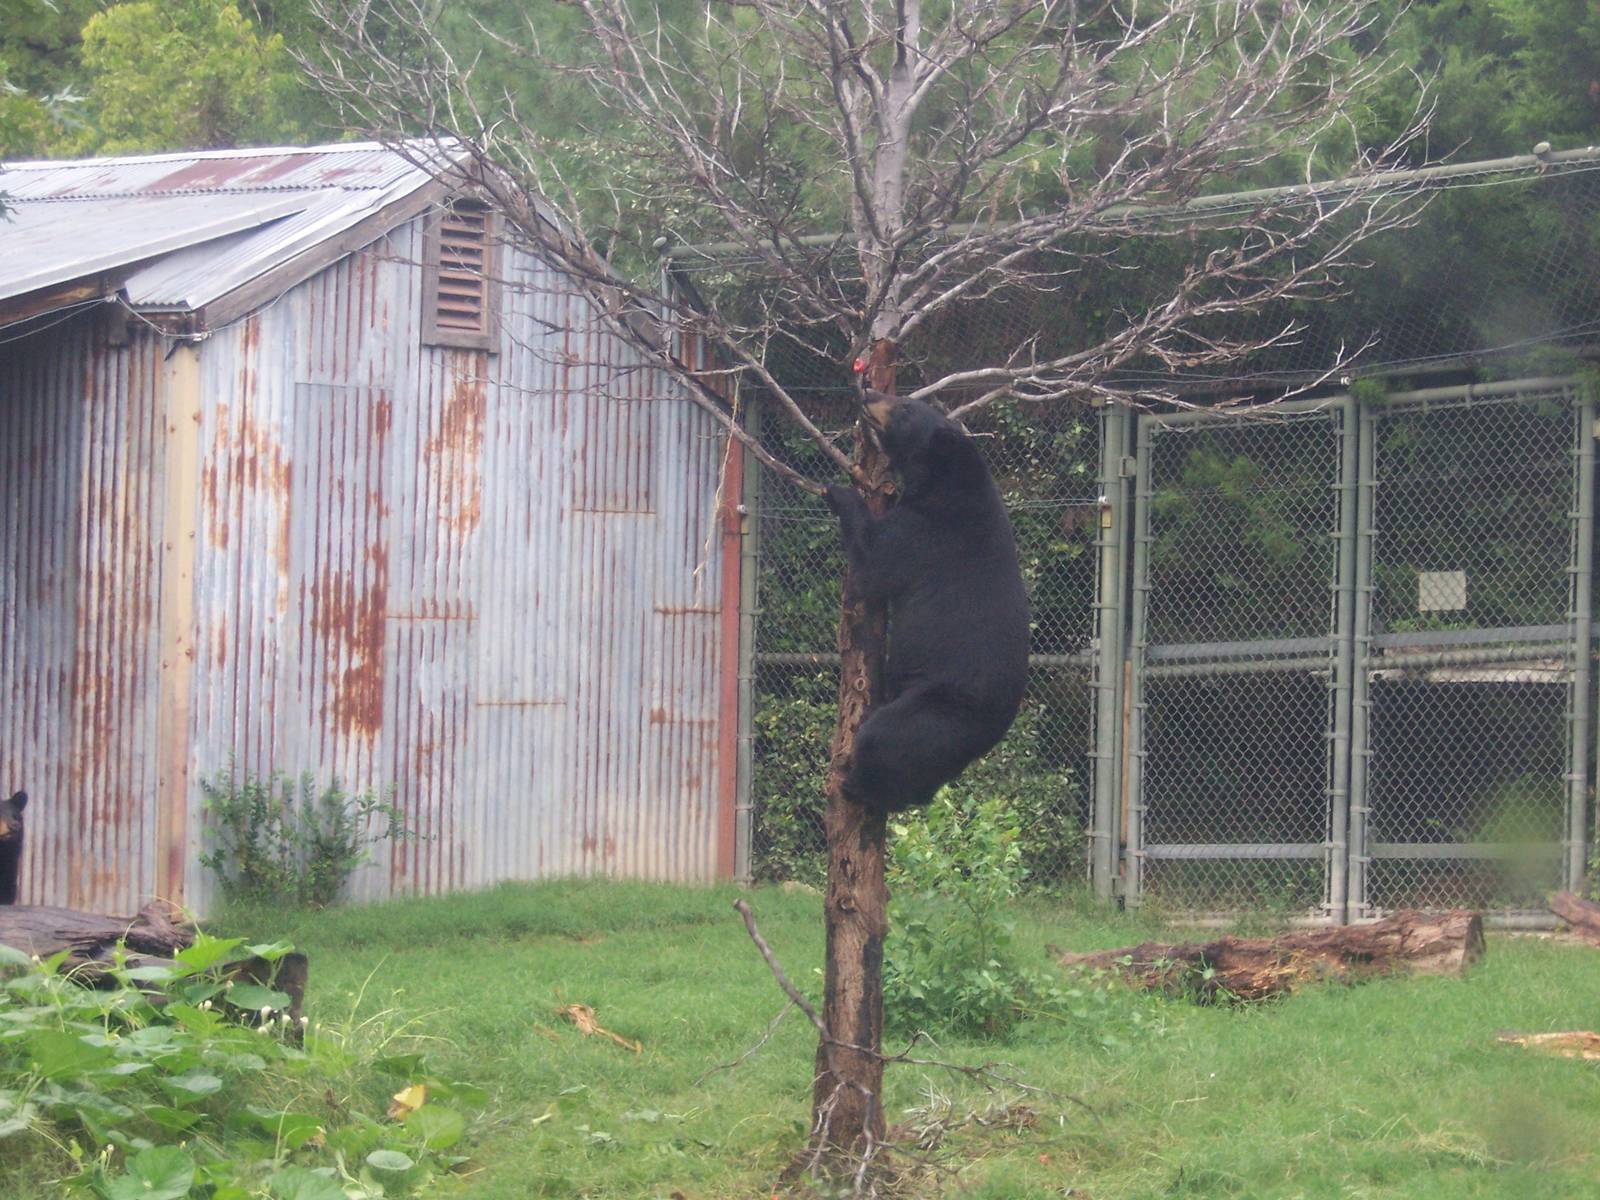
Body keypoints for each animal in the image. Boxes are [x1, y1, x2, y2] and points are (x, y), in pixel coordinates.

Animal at [824, 391, 1029, 813]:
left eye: (904, 408)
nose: (869, 394)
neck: (947, 481)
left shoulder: (926, 531)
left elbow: (874, 565)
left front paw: (839, 492)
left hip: (935, 711)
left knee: (883, 736)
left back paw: (857, 783)